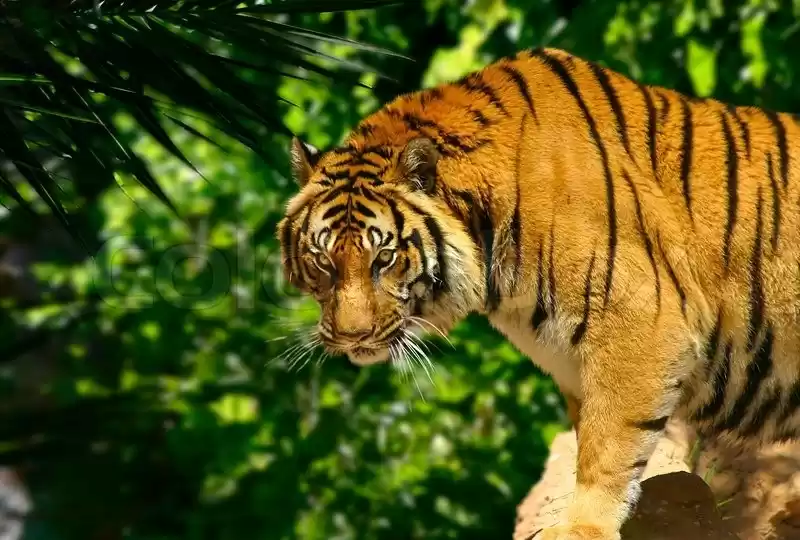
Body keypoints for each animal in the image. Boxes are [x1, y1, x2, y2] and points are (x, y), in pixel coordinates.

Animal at [275, 46, 800, 539]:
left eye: (383, 259)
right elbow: (592, 437)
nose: (352, 337)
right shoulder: (572, 360)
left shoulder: (642, 323)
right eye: (323, 260)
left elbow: (607, 446)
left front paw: (582, 527)